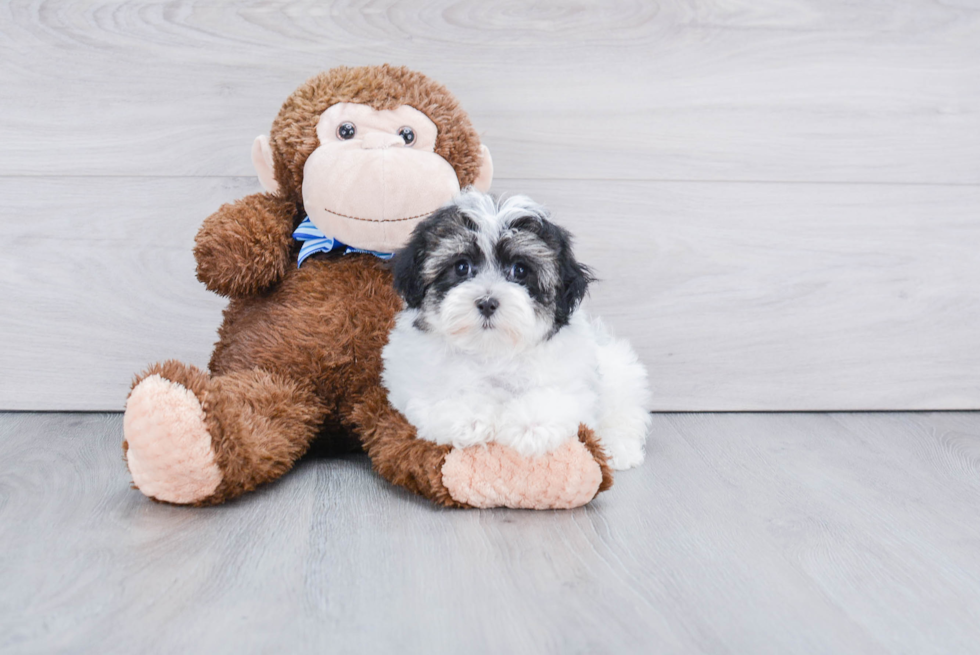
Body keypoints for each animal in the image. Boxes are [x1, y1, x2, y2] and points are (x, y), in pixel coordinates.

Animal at [380, 190, 652, 472]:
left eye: (520, 270)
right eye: (462, 267)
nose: (487, 302)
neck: (491, 351)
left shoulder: (573, 384)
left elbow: (555, 398)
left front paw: (530, 425)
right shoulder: (416, 384)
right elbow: (444, 398)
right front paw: (471, 417)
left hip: (620, 371)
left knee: (623, 411)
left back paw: (618, 449)